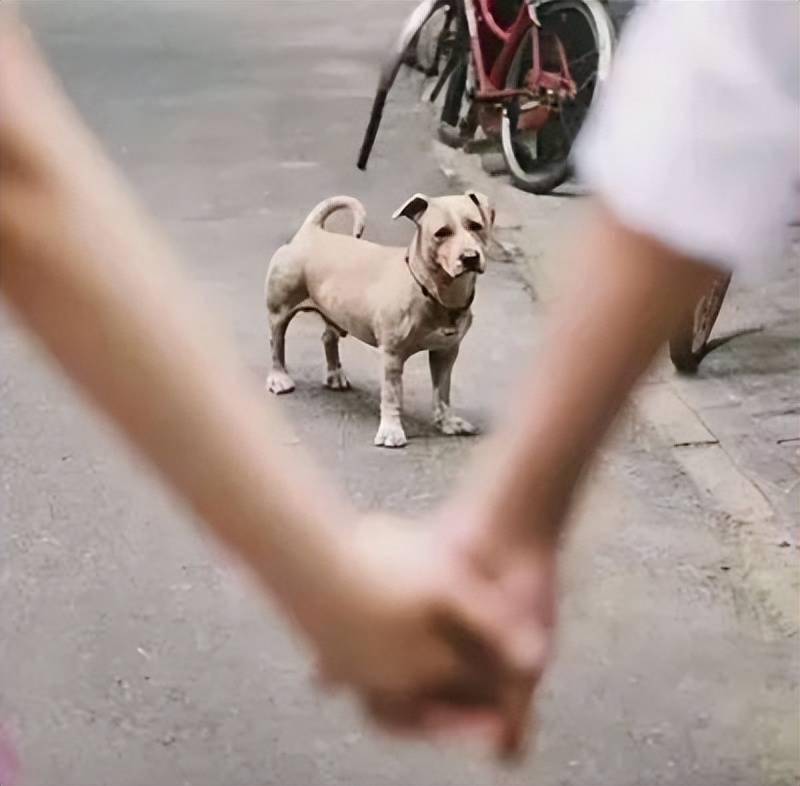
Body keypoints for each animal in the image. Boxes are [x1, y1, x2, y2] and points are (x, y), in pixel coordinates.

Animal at [266, 191, 494, 448]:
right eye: (441, 233)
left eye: (476, 226)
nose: (470, 257)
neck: (430, 290)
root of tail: (310, 231)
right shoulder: (392, 355)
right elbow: (392, 394)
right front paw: (391, 431)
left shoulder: (446, 352)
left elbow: (442, 391)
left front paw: (447, 422)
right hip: (279, 309)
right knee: (277, 342)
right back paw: (278, 378)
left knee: (328, 337)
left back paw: (335, 374)